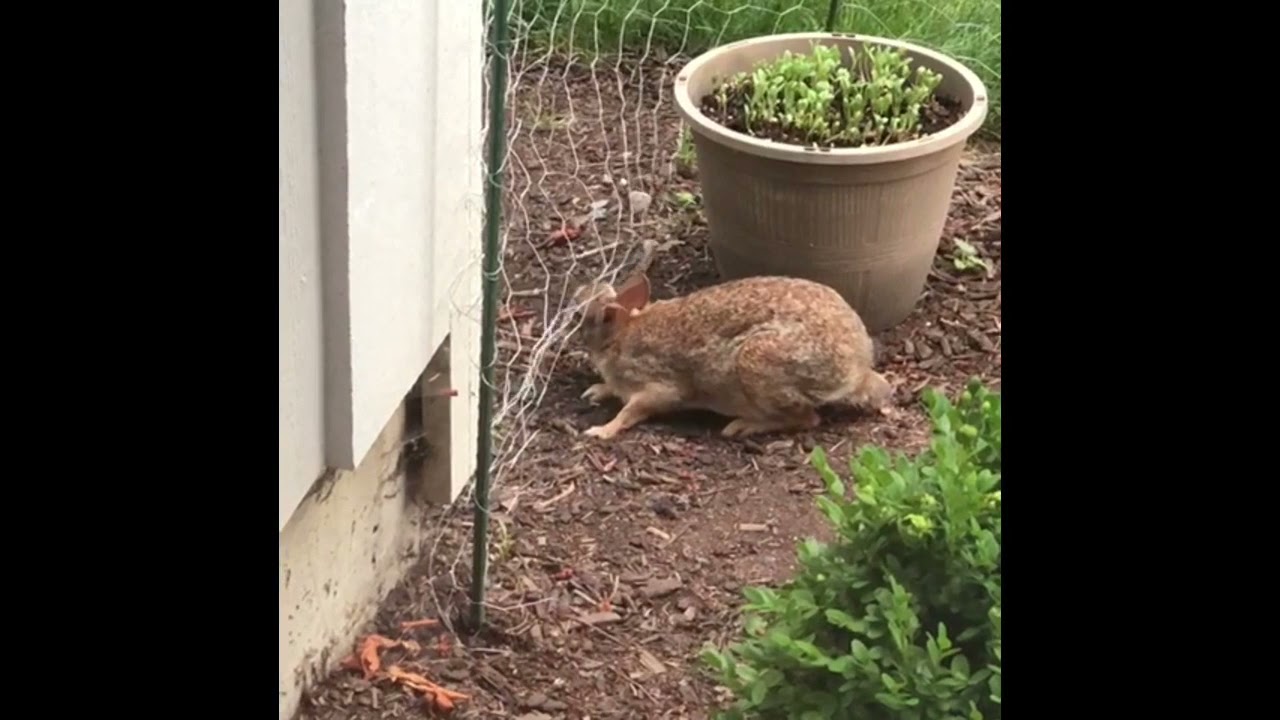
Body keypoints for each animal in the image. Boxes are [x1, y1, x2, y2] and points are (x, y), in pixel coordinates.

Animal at [570, 272, 893, 440]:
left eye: (580, 316)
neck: (620, 335)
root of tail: (856, 371)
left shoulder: (657, 386)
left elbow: (630, 411)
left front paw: (600, 431)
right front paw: (596, 391)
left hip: (757, 364)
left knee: (806, 418)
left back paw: (742, 426)